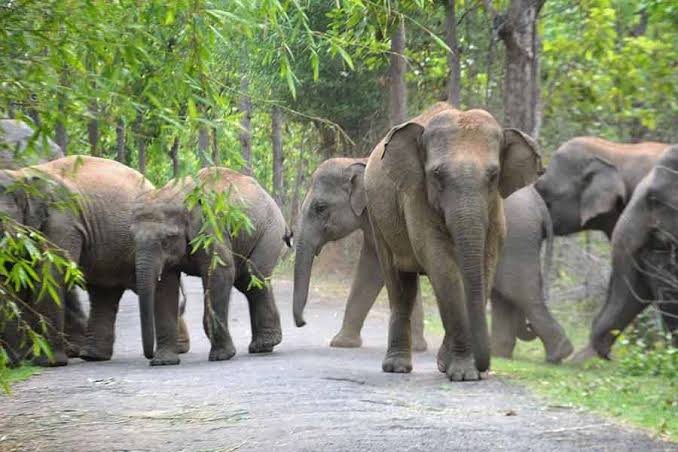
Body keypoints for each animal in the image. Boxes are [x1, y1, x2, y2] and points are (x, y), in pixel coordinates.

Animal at [0, 156, 190, 365]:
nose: (14, 362)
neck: (20, 176)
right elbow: (11, 281)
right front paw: (17, 361)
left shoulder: (62, 220)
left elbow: (50, 275)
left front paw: (49, 362)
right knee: (104, 291)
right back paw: (92, 356)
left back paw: (179, 349)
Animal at [131, 167, 287, 366]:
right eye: (132, 238)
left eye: (166, 239)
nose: (149, 356)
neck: (177, 195)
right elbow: (164, 286)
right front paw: (163, 362)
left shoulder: (210, 228)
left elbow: (221, 273)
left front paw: (221, 356)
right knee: (248, 282)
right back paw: (264, 345)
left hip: (270, 231)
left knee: (252, 278)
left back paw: (263, 345)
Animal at [291, 157, 428, 351]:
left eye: (320, 207)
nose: (303, 323)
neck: (356, 162)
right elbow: (371, 270)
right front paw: (342, 343)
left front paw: (415, 347)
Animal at [364, 102, 542, 381]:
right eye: (437, 175)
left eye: (494, 176)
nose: (485, 366)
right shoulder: (416, 195)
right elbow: (442, 263)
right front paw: (464, 374)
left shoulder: (495, 208)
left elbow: (486, 263)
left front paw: (452, 368)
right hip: (377, 215)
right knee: (399, 283)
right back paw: (397, 367)